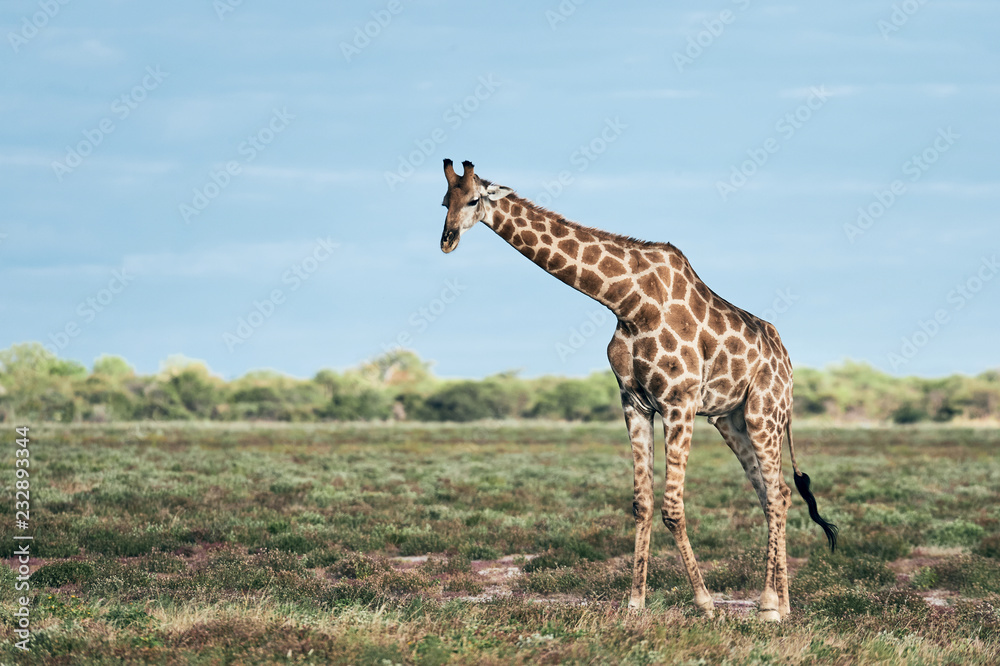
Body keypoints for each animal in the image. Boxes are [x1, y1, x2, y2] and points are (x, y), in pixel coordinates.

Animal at [439, 159, 837, 621]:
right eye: (444, 201)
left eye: (473, 199)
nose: (447, 240)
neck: (627, 303)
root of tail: (787, 363)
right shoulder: (634, 402)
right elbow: (642, 503)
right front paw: (635, 602)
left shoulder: (679, 401)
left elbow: (672, 508)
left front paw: (704, 603)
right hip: (730, 420)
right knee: (777, 493)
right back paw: (781, 603)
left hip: (764, 413)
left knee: (776, 494)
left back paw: (770, 605)